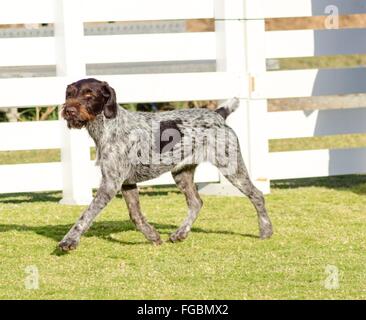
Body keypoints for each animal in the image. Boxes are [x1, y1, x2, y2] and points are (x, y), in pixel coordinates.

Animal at [59, 79, 272, 251]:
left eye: (89, 95)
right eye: (69, 94)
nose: (68, 110)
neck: (109, 126)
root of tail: (218, 114)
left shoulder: (110, 184)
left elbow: (86, 215)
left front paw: (69, 240)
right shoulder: (126, 183)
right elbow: (136, 216)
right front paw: (152, 236)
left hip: (232, 168)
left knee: (257, 195)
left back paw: (266, 230)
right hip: (181, 173)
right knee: (196, 203)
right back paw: (180, 233)